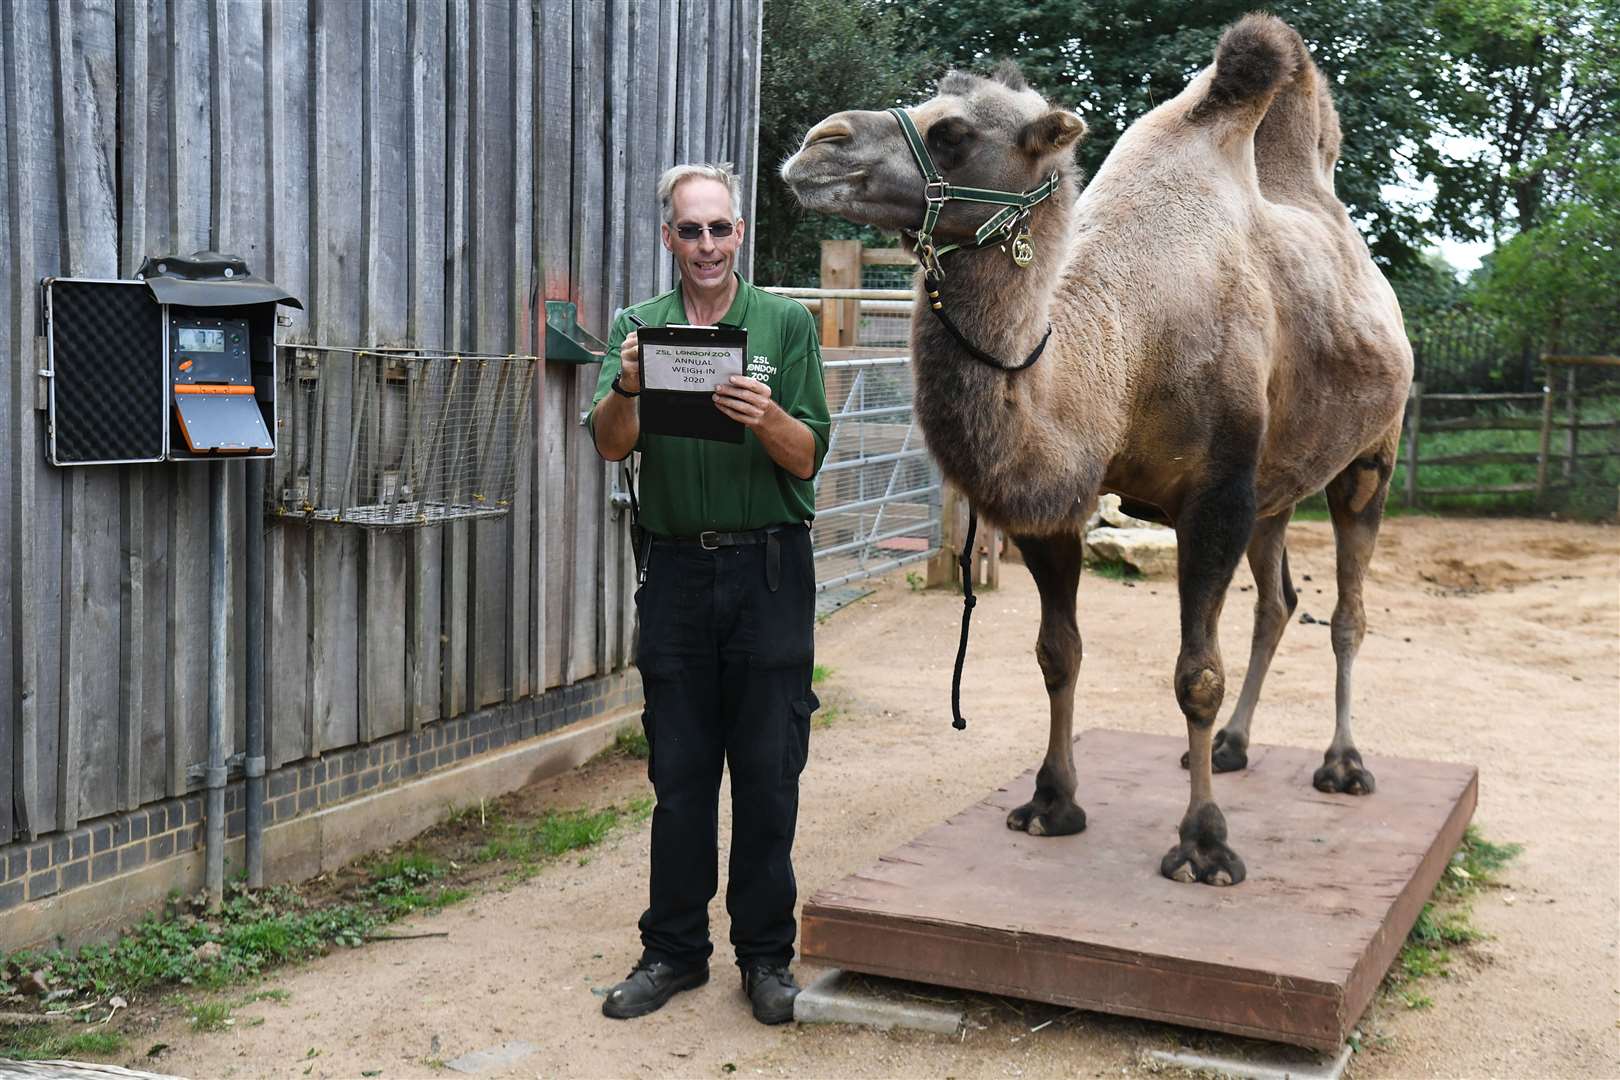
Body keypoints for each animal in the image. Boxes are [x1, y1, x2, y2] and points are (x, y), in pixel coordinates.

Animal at [777, 10, 1412, 887]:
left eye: (953, 134)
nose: (816, 145)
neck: (1124, 345)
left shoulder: (1216, 493)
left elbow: (1195, 673)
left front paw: (1205, 845)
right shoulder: (1063, 502)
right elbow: (1058, 653)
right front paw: (1051, 804)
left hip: (1372, 453)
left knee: (1347, 611)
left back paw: (1343, 766)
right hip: (1278, 486)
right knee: (1278, 603)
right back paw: (1233, 748)